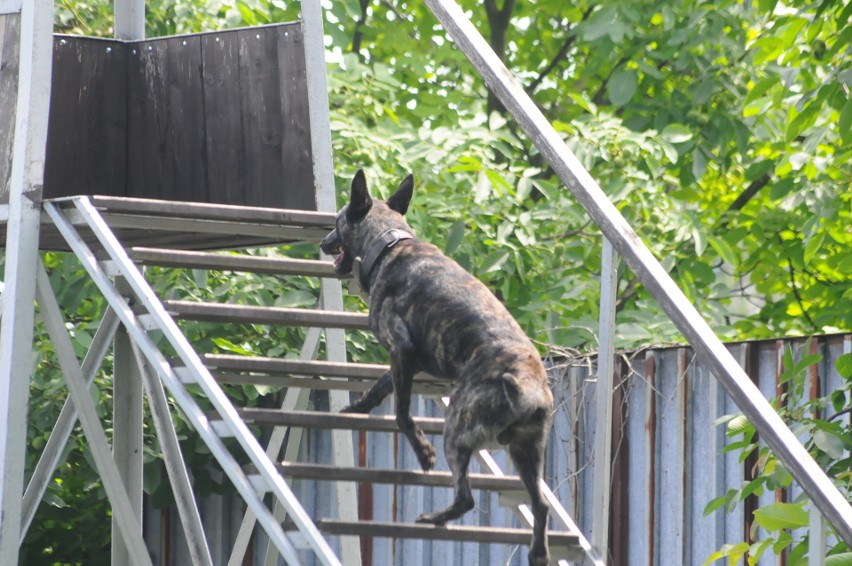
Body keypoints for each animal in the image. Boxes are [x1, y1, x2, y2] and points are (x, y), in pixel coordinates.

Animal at [320, 171, 552, 564]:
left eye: (337, 223)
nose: (323, 243)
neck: (389, 245)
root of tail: (528, 389)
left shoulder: (401, 349)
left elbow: (401, 413)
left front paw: (422, 452)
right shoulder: (404, 361)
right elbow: (379, 388)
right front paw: (357, 408)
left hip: (456, 430)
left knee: (466, 497)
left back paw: (434, 517)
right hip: (526, 454)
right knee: (541, 506)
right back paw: (537, 552)